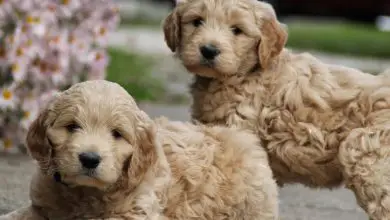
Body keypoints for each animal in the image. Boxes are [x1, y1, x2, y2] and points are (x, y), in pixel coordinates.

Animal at [163, 0, 390, 219]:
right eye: (197, 21)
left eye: (237, 30)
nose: (209, 50)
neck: (247, 74)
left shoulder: (240, 134)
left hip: (367, 158)